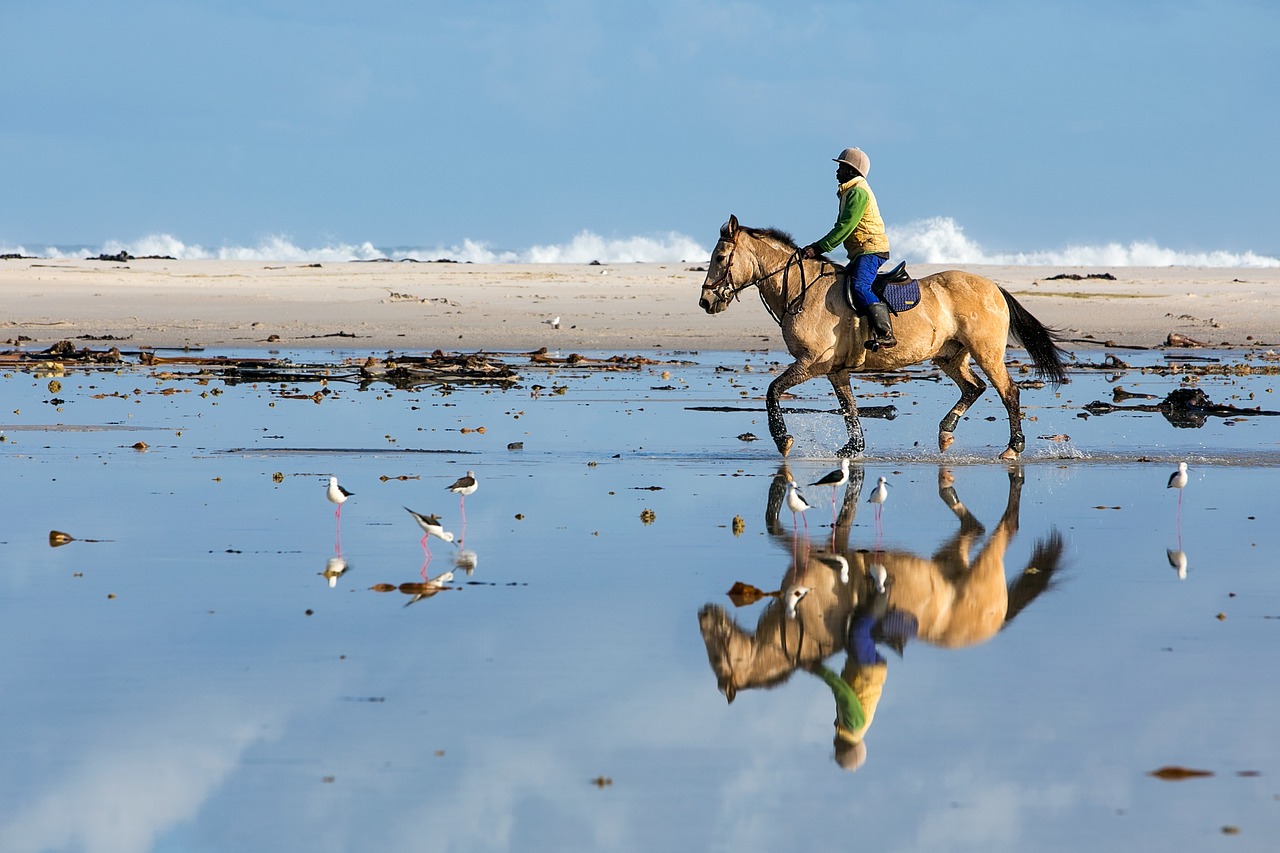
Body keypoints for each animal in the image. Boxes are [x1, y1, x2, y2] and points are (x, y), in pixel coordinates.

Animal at [696, 216, 1064, 461]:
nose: (706, 302)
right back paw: (946, 433)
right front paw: (853, 448)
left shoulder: (812, 363)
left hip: (986, 352)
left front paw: (783, 440)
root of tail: (994, 287)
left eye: (719, 258)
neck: (802, 290)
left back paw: (1013, 448)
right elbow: (849, 408)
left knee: (1008, 392)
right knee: (974, 388)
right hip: (949, 355)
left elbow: (773, 391)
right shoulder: (836, 371)